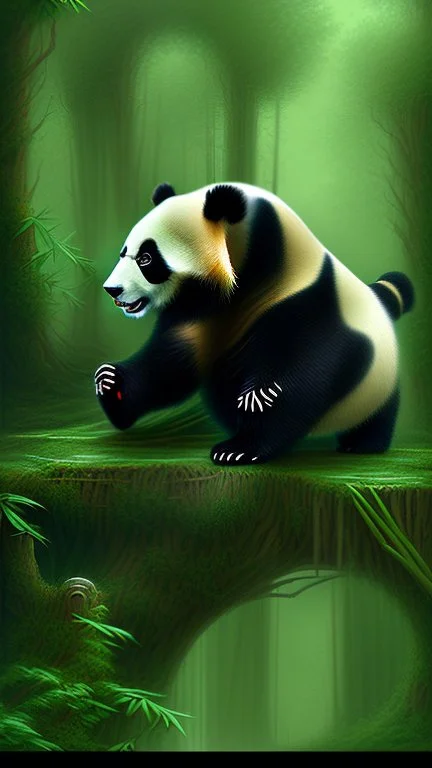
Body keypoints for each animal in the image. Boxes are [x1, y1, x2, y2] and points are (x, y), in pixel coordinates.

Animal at [95, 181, 415, 466]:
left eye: (147, 259)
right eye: (124, 252)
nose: (112, 290)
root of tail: (380, 298)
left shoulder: (305, 297)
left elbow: (309, 369)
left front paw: (243, 439)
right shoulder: (201, 311)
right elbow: (172, 363)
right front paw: (110, 383)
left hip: (377, 378)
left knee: (377, 410)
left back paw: (362, 444)